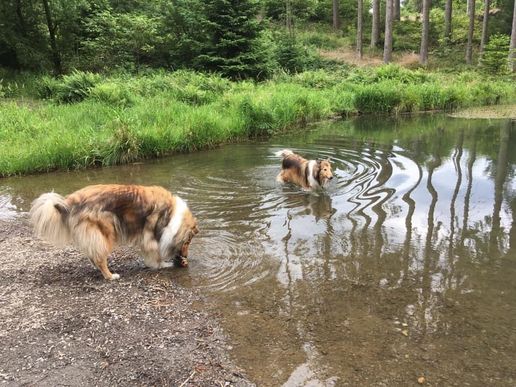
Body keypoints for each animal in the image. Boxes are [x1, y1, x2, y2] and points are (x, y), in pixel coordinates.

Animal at [29, 186, 200, 282]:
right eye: (187, 242)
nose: (185, 257)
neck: (171, 214)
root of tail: (69, 202)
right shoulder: (150, 237)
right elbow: (155, 255)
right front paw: (163, 265)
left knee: (93, 254)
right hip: (106, 232)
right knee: (99, 258)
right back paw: (110, 276)